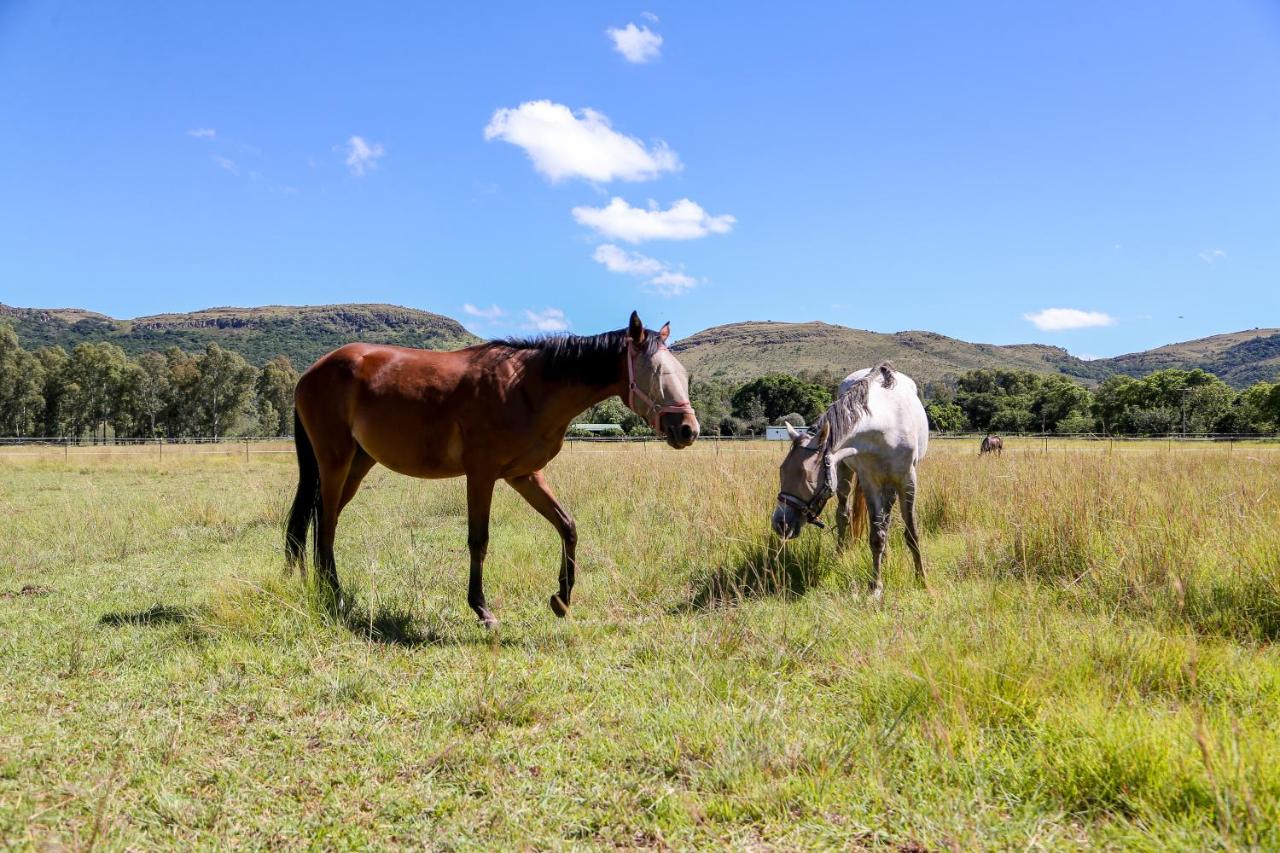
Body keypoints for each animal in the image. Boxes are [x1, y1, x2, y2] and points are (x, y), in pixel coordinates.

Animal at [285, 312, 701, 625]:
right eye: (656, 372)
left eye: (681, 373)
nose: (688, 430)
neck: (526, 387)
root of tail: (311, 372)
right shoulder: (481, 476)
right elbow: (479, 541)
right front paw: (482, 609)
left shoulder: (523, 475)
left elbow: (567, 526)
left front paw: (561, 599)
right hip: (335, 461)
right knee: (326, 522)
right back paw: (335, 595)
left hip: (358, 463)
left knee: (323, 518)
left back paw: (325, 589)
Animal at [768, 361, 931, 594]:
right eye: (782, 471)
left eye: (808, 478)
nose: (780, 524)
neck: (887, 424)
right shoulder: (870, 481)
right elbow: (876, 535)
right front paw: (876, 586)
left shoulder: (907, 481)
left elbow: (912, 532)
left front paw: (922, 580)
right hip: (846, 471)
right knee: (844, 515)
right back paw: (841, 556)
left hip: (890, 483)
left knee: (887, 518)